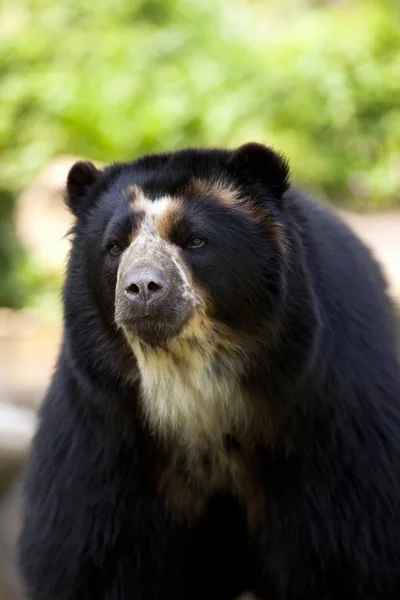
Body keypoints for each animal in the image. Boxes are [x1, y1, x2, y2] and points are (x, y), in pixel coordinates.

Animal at [19, 143, 400, 596]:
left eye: (195, 240)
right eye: (115, 246)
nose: (141, 289)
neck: (192, 379)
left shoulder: (330, 419)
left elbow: (349, 548)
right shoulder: (105, 434)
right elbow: (93, 557)